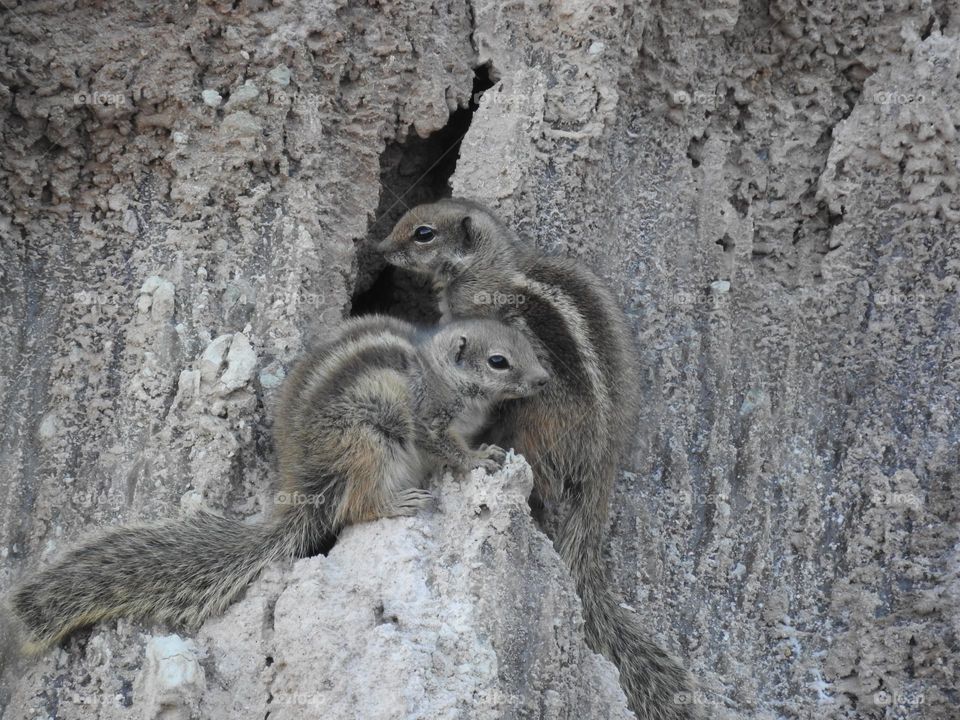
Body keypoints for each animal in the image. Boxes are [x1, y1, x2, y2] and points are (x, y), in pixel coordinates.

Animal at [11, 314, 549, 653]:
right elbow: (446, 447)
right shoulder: (428, 421)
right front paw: (479, 458)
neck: (438, 369)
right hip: (371, 441)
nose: (543, 380)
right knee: (356, 505)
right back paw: (397, 502)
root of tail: (301, 485)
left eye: (529, 349)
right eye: (499, 361)